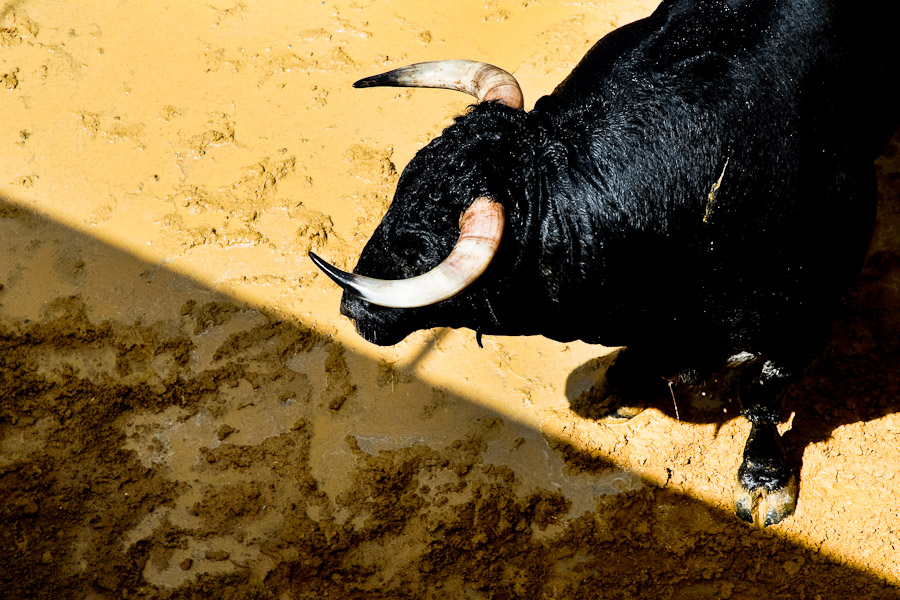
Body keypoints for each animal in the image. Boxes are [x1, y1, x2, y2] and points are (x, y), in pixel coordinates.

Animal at [308, 0, 892, 524]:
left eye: (416, 244)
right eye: (399, 190)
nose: (351, 307)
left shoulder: (804, 320)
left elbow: (761, 395)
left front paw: (765, 480)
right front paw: (625, 384)